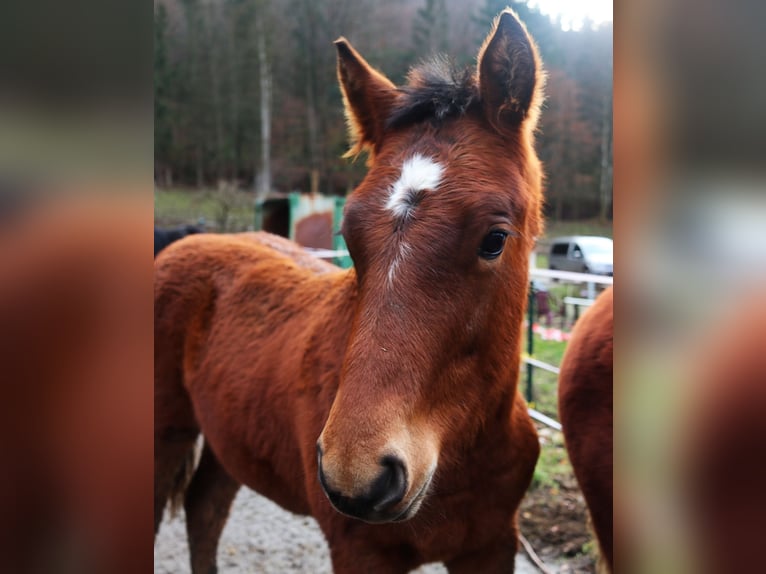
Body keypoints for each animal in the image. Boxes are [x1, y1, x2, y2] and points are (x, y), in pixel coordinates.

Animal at [154, 10, 544, 574]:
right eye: (348, 236)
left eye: (494, 239)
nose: (359, 476)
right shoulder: (360, 552)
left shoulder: (492, 545)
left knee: (205, 508)